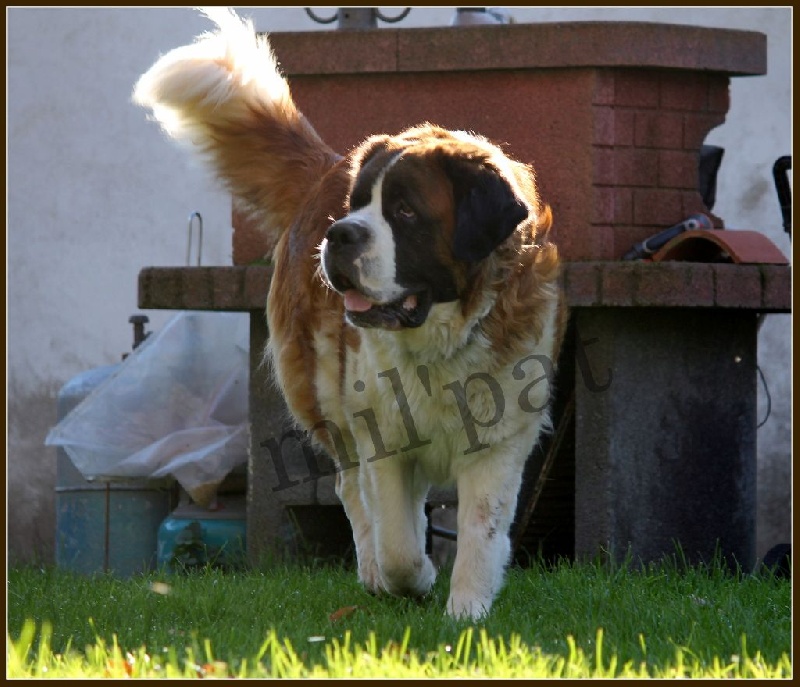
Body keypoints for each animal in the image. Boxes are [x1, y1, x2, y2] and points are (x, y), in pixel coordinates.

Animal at [134, 6, 564, 620]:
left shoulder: (500, 439)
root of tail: (326, 169)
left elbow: (480, 530)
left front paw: (467, 611)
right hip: (324, 393)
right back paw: (374, 573)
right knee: (355, 495)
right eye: (358, 204)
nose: (340, 234)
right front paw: (412, 577)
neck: (439, 338)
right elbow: (397, 541)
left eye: (405, 212)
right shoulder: (380, 431)